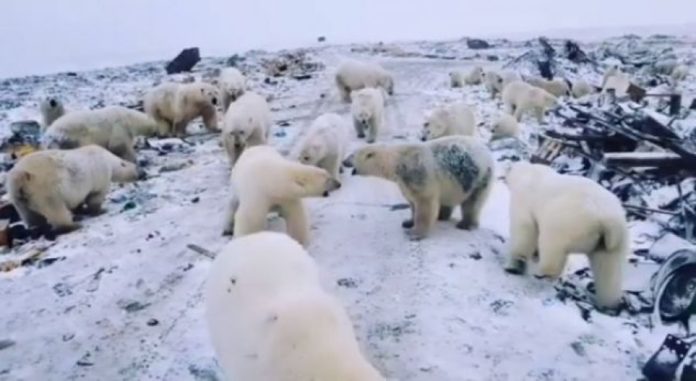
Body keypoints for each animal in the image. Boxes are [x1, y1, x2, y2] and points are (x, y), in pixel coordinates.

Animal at [5, 145, 140, 233]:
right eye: (137, 169)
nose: (142, 173)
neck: (108, 159)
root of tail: (20, 178)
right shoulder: (100, 174)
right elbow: (95, 196)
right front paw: (100, 210)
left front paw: (80, 210)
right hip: (44, 189)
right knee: (55, 209)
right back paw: (72, 226)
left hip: (18, 197)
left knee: (30, 215)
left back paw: (38, 227)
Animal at [346, 135, 492, 239]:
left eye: (352, 154)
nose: (344, 161)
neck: (399, 162)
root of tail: (487, 151)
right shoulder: (405, 181)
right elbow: (412, 202)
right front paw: (408, 222)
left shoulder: (419, 173)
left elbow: (424, 203)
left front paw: (414, 233)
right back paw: (442, 215)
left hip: (479, 176)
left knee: (472, 203)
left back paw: (466, 224)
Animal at [502, 161, 628, 308]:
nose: (503, 176)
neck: (528, 173)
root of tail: (607, 221)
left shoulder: (525, 201)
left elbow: (525, 229)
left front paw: (515, 262)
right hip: (613, 242)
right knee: (609, 269)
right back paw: (608, 302)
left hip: (567, 222)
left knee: (552, 247)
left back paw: (544, 273)